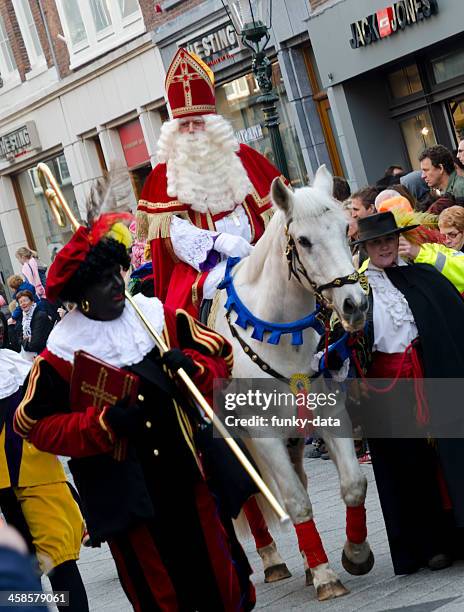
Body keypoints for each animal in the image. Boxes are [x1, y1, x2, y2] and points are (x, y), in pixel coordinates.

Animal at [213, 167, 374, 604]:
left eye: (345, 228)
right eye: (303, 240)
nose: (355, 305)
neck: (278, 334)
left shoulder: (328, 412)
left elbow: (354, 484)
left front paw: (354, 554)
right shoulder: (261, 433)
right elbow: (296, 503)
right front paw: (326, 577)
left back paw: (304, 560)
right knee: (250, 500)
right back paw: (274, 561)